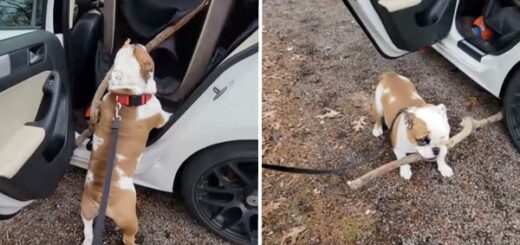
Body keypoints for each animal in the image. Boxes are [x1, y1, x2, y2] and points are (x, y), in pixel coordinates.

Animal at [80, 39, 172, 244]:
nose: (137, 41)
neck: (126, 93)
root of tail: (99, 196)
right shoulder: (159, 115)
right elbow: (166, 116)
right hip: (129, 216)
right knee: (128, 236)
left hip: (86, 210)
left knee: (88, 230)